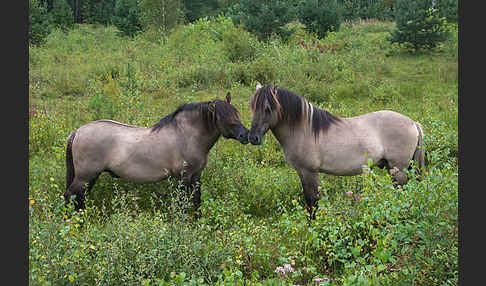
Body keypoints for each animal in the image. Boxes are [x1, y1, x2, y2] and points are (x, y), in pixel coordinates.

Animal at [64, 92, 249, 216]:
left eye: (236, 113)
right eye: (224, 118)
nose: (245, 135)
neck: (186, 135)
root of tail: (77, 132)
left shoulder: (196, 176)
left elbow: (197, 200)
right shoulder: (183, 177)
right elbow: (183, 203)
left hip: (91, 177)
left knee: (80, 197)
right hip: (85, 176)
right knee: (70, 195)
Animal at [251, 82, 426, 219]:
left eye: (268, 108)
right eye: (252, 107)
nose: (253, 138)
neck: (303, 130)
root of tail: (413, 123)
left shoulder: (309, 172)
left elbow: (312, 203)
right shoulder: (304, 173)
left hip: (399, 170)